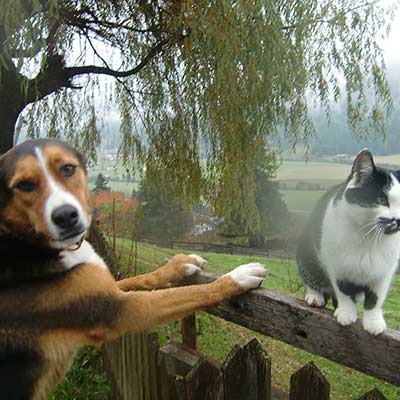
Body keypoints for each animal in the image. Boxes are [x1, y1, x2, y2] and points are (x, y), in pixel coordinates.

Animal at [0, 139, 268, 398]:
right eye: (24, 185)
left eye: (68, 168)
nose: (66, 216)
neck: (27, 241)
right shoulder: (118, 309)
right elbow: (189, 293)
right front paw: (238, 277)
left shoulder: (106, 288)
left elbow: (144, 278)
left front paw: (179, 265)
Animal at [296, 149, 400, 334]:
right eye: (381, 200)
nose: (399, 220)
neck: (370, 238)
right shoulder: (338, 266)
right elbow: (343, 291)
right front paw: (346, 313)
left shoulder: (384, 273)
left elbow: (375, 298)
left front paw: (373, 321)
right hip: (305, 251)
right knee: (310, 277)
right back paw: (315, 296)